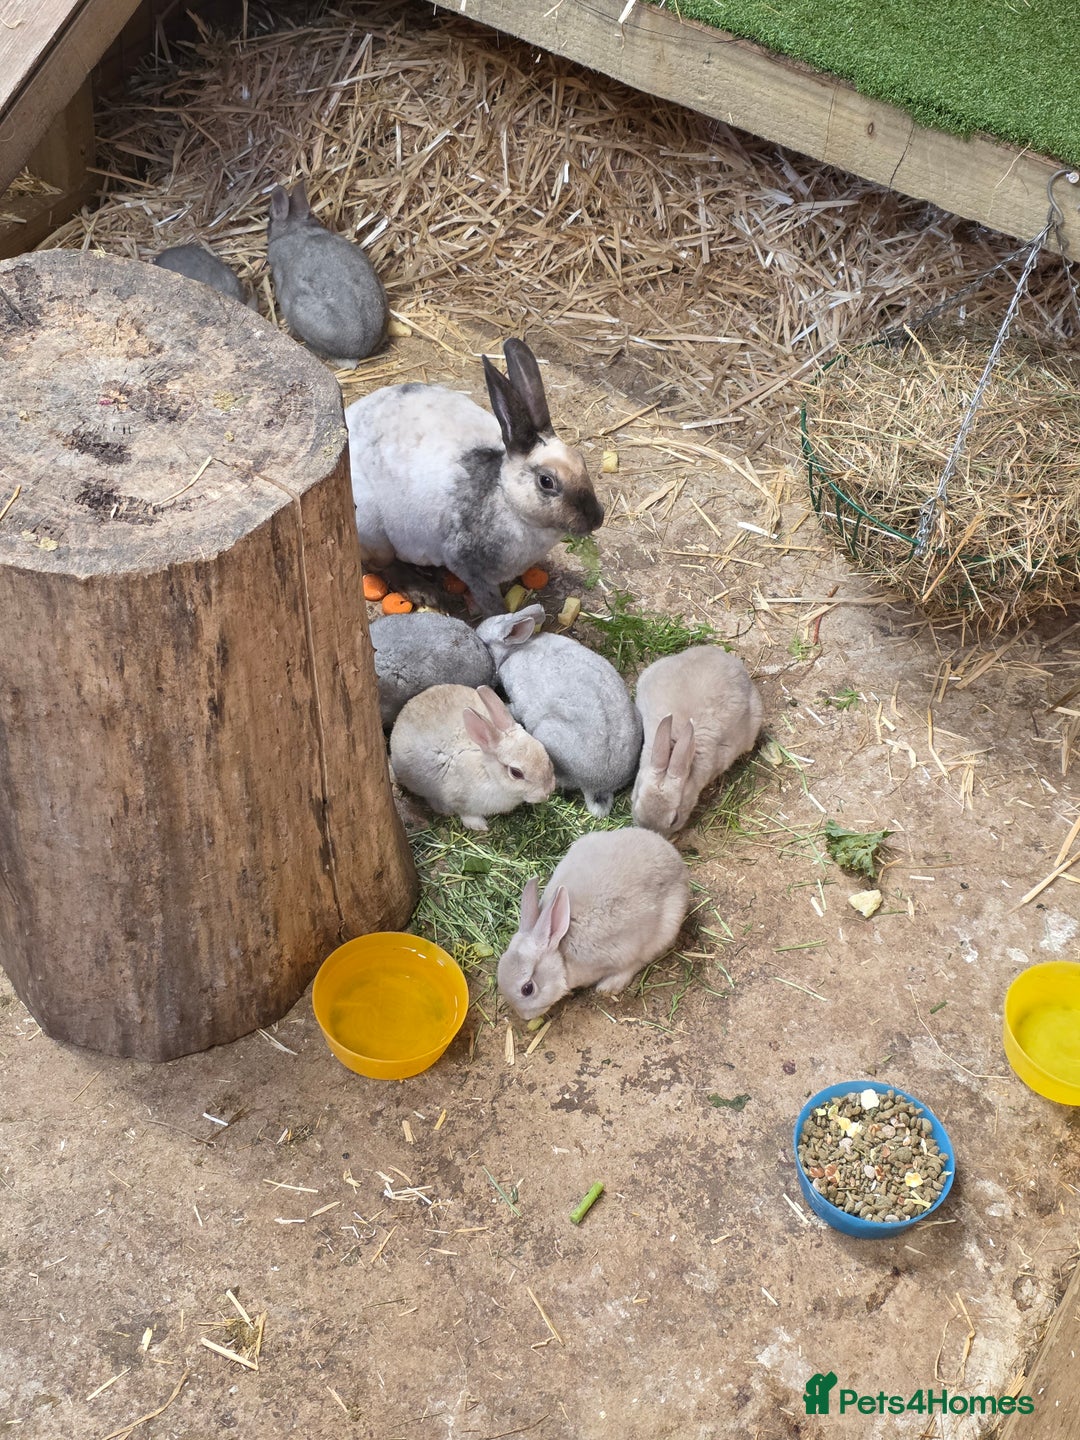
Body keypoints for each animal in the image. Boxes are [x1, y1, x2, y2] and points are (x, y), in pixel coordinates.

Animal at [346, 338, 603, 615]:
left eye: (582, 460)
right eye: (546, 481)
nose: (596, 519)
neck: (505, 498)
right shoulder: (469, 568)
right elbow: (491, 602)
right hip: (373, 532)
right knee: (381, 566)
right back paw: (423, 591)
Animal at [389, 683, 555, 830]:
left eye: (544, 751)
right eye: (516, 773)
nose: (547, 792)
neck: (489, 772)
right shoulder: (458, 799)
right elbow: (466, 813)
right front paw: (479, 826)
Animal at [497, 828, 690, 1021]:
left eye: (527, 989)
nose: (525, 1017)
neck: (561, 953)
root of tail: (675, 858)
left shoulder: (624, 952)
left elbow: (632, 964)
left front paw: (608, 986)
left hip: (666, 928)